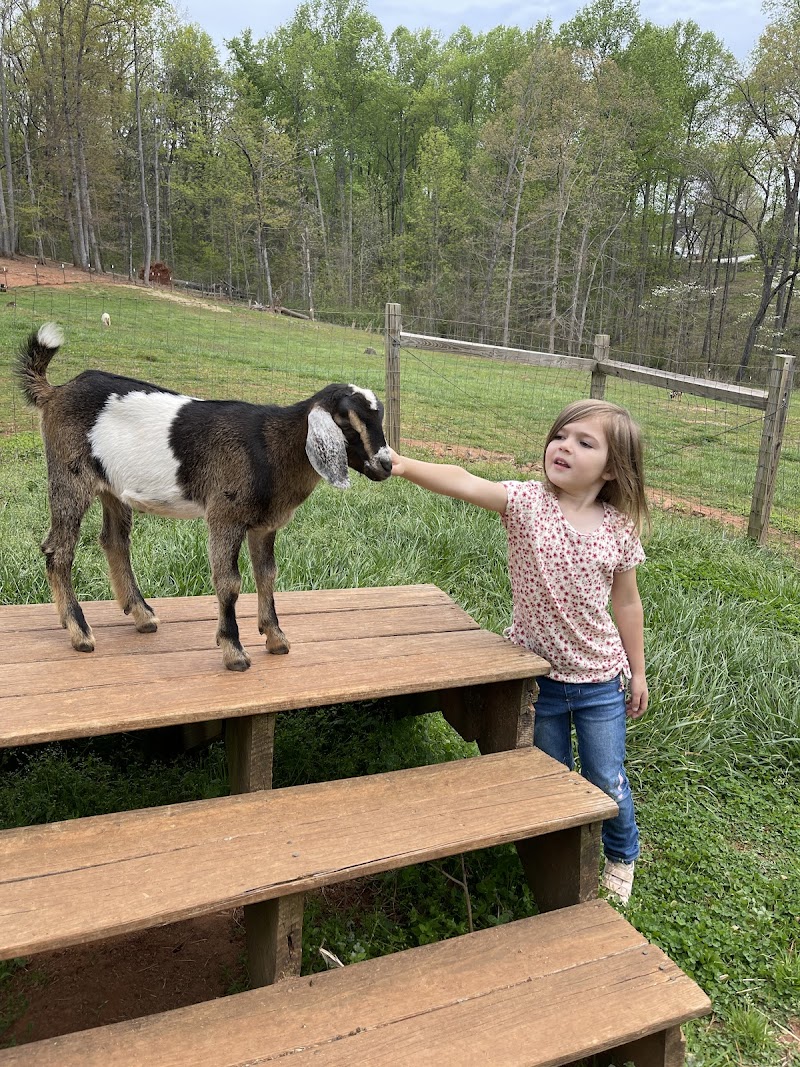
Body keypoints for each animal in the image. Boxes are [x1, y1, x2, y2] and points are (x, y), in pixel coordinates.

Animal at [17, 323, 392, 671]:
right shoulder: (225, 515)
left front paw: (275, 638)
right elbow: (229, 582)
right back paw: (79, 631)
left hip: (112, 485)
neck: (271, 446)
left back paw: (142, 615)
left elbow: (267, 574)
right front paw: (234, 651)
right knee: (59, 550)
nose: (386, 464)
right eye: (346, 422)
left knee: (114, 540)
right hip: (69, 473)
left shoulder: (264, 525)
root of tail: (55, 392)